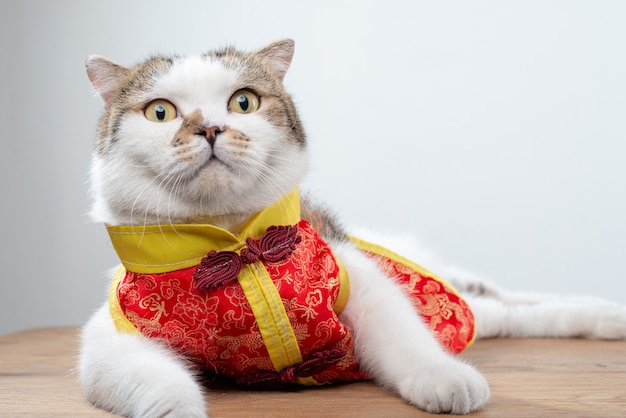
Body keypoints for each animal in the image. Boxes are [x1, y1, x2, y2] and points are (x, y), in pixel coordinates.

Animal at [78, 38, 624, 414]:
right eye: (160, 112)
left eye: (243, 102)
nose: (211, 128)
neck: (238, 245)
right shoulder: (111, 339)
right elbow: (152, 379)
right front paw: (178, 407)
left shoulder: (362, 282)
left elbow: (405, 338)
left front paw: (446, 381)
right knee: (507, 312)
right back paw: (606, 317)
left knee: (499, 305)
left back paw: (605, 316)